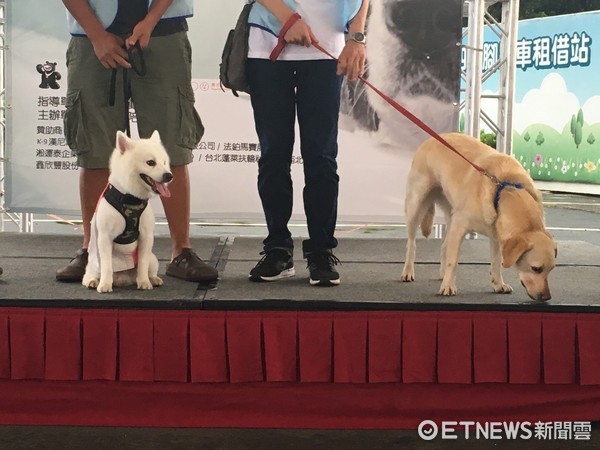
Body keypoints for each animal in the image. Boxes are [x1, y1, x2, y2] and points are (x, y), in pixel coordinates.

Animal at [82, 130, 172, 294]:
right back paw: (93, 281)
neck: (130, 198)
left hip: (153, 258)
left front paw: (144, 282)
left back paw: (153, 279)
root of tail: (122, 279)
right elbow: (107, 265)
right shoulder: (105, 237)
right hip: (93, 262)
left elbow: (142, 263)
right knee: (89, 273)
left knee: (150, 268)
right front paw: (105, 284)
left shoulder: (146, 236)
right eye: (151, 162)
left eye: (164, 162)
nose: (169, 176)